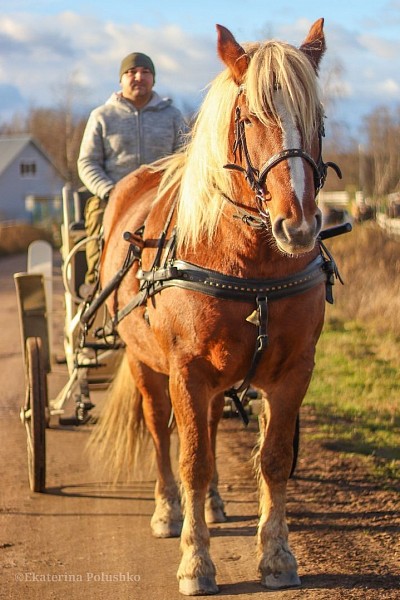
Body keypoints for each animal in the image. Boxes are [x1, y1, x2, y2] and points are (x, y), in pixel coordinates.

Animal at [92, 18, 340, 596]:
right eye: (249, 117)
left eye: (316, 119)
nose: (298, 226)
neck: (250, 266)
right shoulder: (186, 369)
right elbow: (193, 460)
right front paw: (195, 561)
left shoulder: (294, 370)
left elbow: (273, 459)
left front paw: (276, 555)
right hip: (148, 364)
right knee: (163, 432)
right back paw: (169, 509)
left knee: (206, 425)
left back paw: (213, 505)